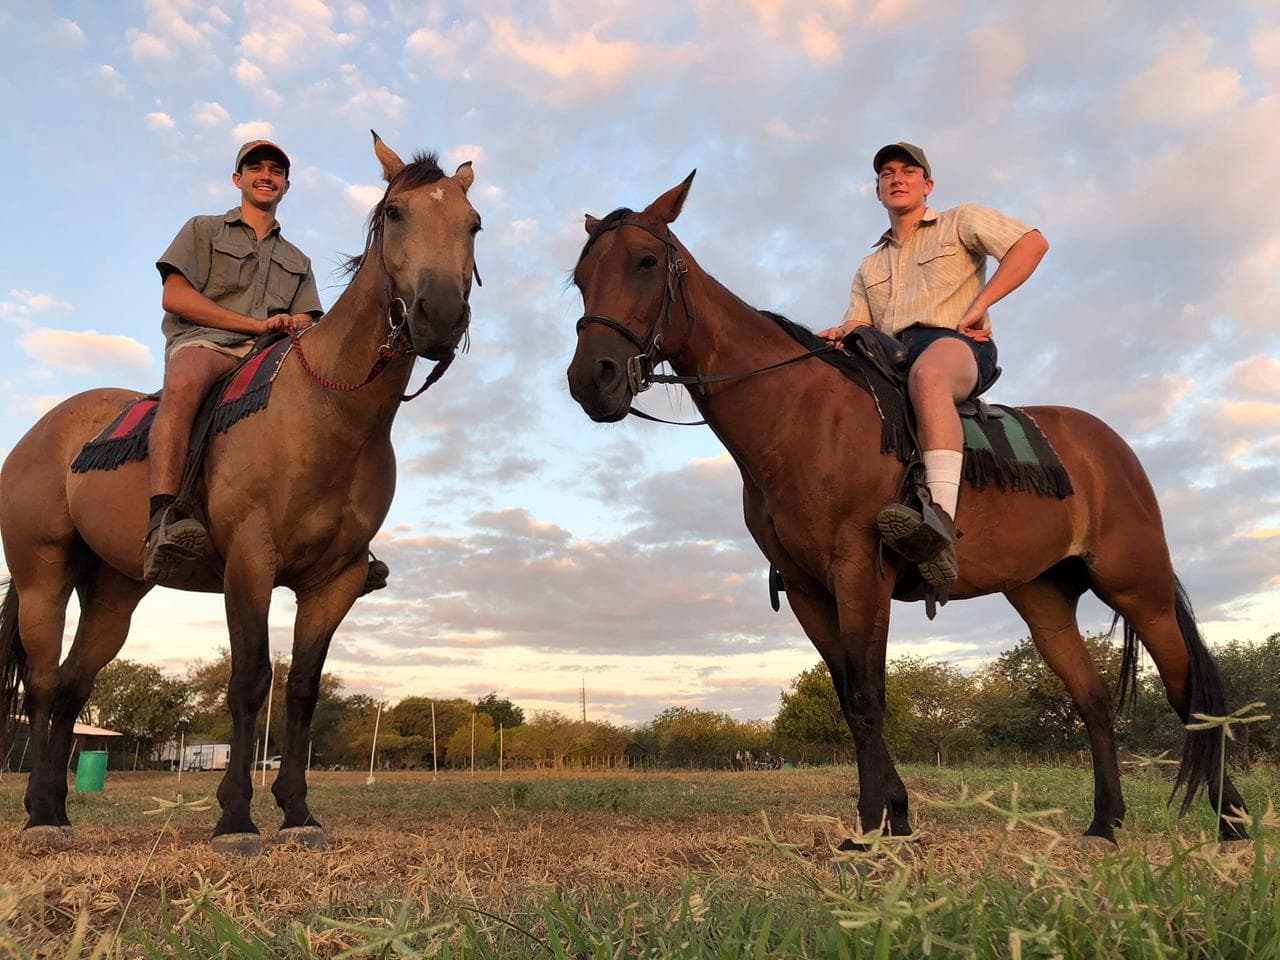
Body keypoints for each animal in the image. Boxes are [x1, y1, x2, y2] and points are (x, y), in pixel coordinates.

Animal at [0, 133, 481, 854]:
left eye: (473, 224)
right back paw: (37, 818)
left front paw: (299, 812)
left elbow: (303, 690)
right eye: (396, 213)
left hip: (114, 593)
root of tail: (42, 433)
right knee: (42, 684)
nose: (441, 316)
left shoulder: (335, 580)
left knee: (71, 689)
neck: (328, 413)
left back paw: (56, 808)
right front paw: (235, 818)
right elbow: (251, 681)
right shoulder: (250, 562)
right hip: (42, 576)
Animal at [565, 173, 1249, 846]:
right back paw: (1107, 823)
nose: (592, 379)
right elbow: (849, 698)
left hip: (1139, 587)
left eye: (647, 261)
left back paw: (1232, 821)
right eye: (580, 277)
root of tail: (1110, 447)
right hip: (1044, 599)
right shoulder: (811, 590)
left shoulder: (859, 573)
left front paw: (872, 828)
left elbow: (868, 698)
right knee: (1094, 700)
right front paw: (892, 816)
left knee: (1189, 694)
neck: (799, 413)